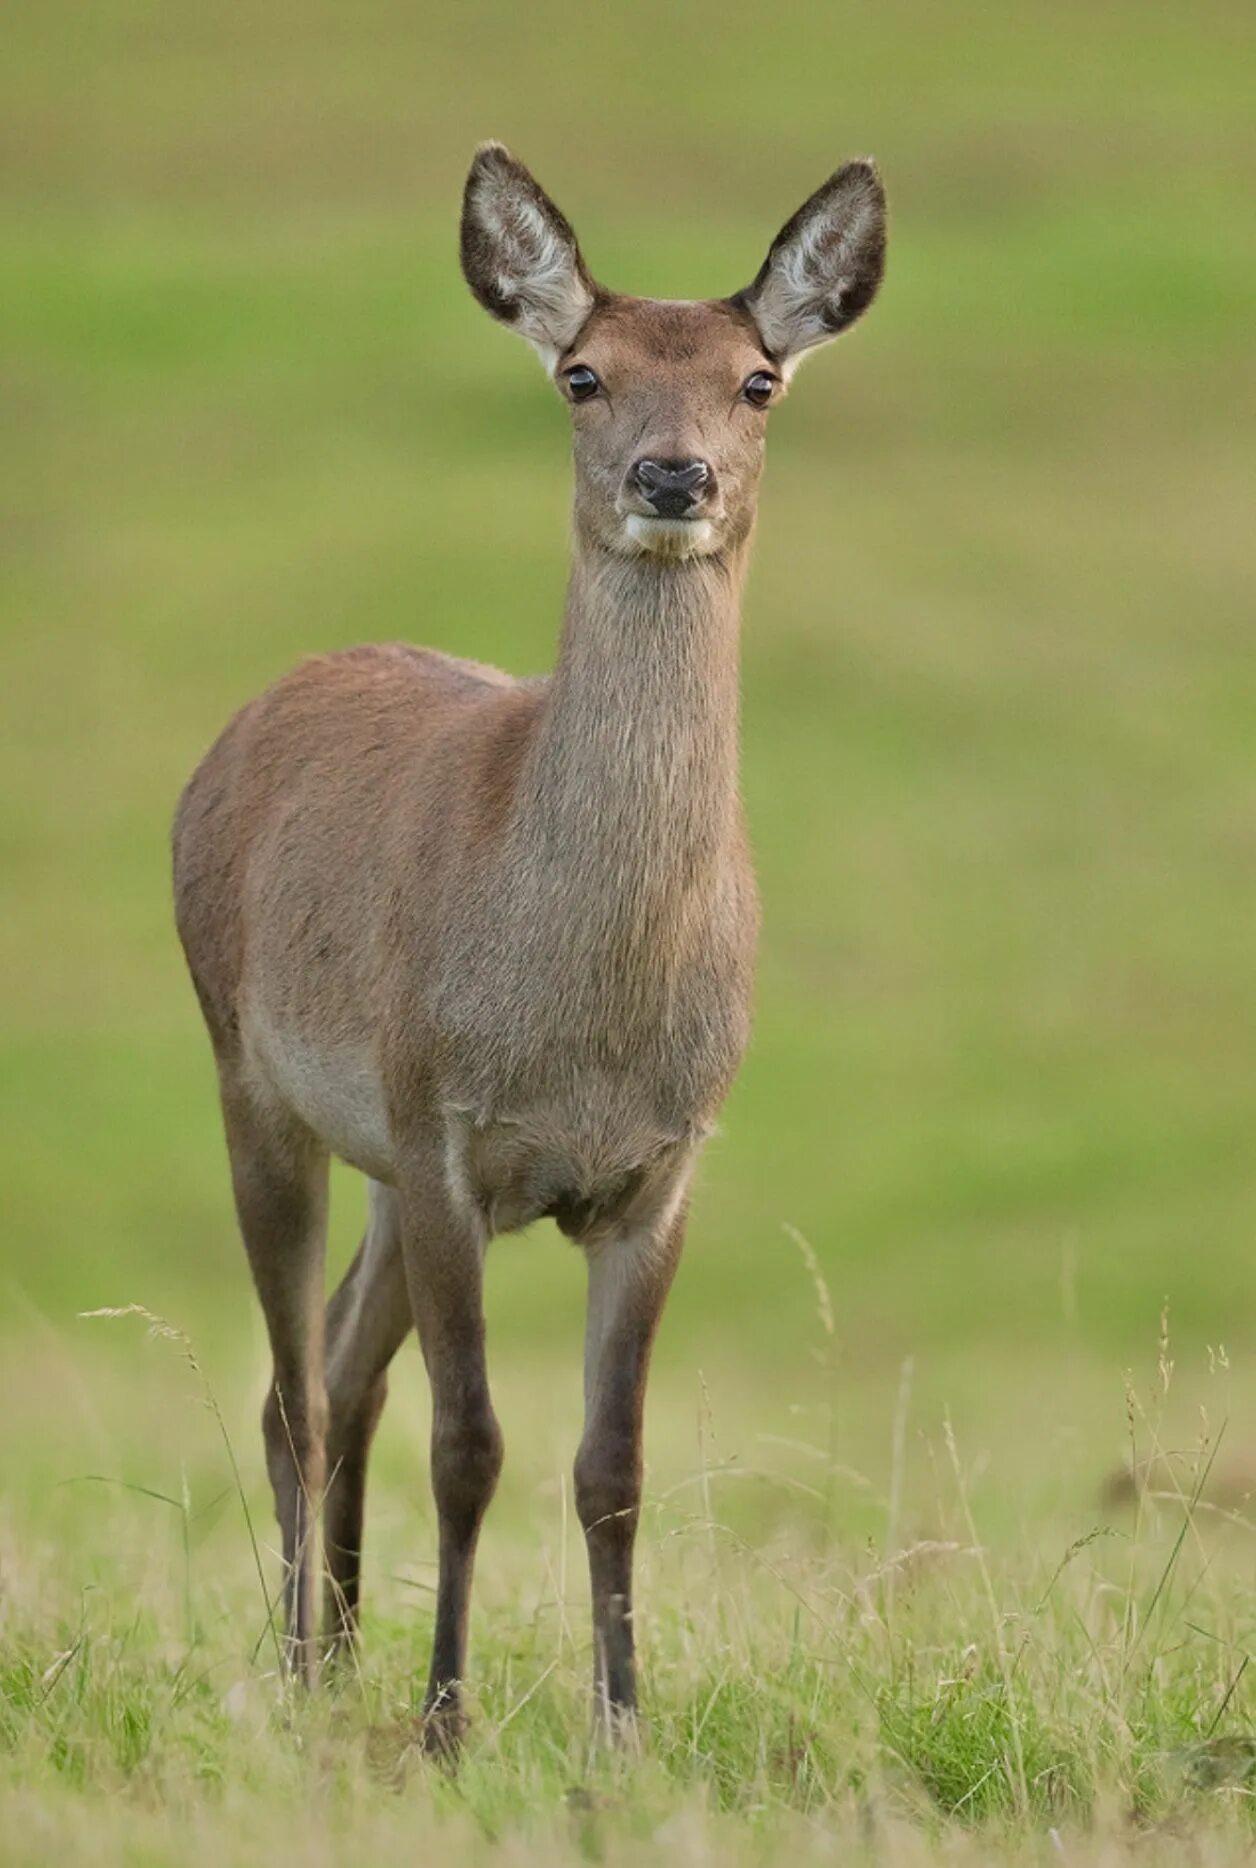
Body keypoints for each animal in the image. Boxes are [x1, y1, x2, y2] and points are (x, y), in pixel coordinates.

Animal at [173, 138, 882, 1740]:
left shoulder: (662, 1167)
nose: (670, 475)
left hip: (374, 1154)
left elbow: (610, 1469)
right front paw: (445, 1721)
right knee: (298, 1391)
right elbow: (472, 1442)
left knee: (342, 1368)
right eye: (581, 373)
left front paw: (624, 1728)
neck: (584, 1025)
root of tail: (236, 732)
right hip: (258, 1078)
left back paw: (338, 1653)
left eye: (757, 378)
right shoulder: (446, 1124)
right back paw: (306, 1672)